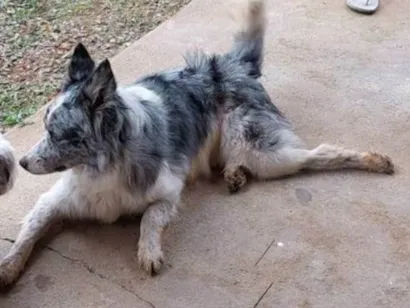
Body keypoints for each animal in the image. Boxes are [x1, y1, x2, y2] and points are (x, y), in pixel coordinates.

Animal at [0, 0, 394, 288]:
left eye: (57, 133)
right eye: (44, 126)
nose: (21, 163)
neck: (106, 164)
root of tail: (233, 65)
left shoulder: (168, 192)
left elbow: (149, 218)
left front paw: (148, 251)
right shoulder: (55, 201)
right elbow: (29, 232)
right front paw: (8, 267)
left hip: (263, 151)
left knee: (319, 154)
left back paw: (373, 160)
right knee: (240, 159)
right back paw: (235, 174)